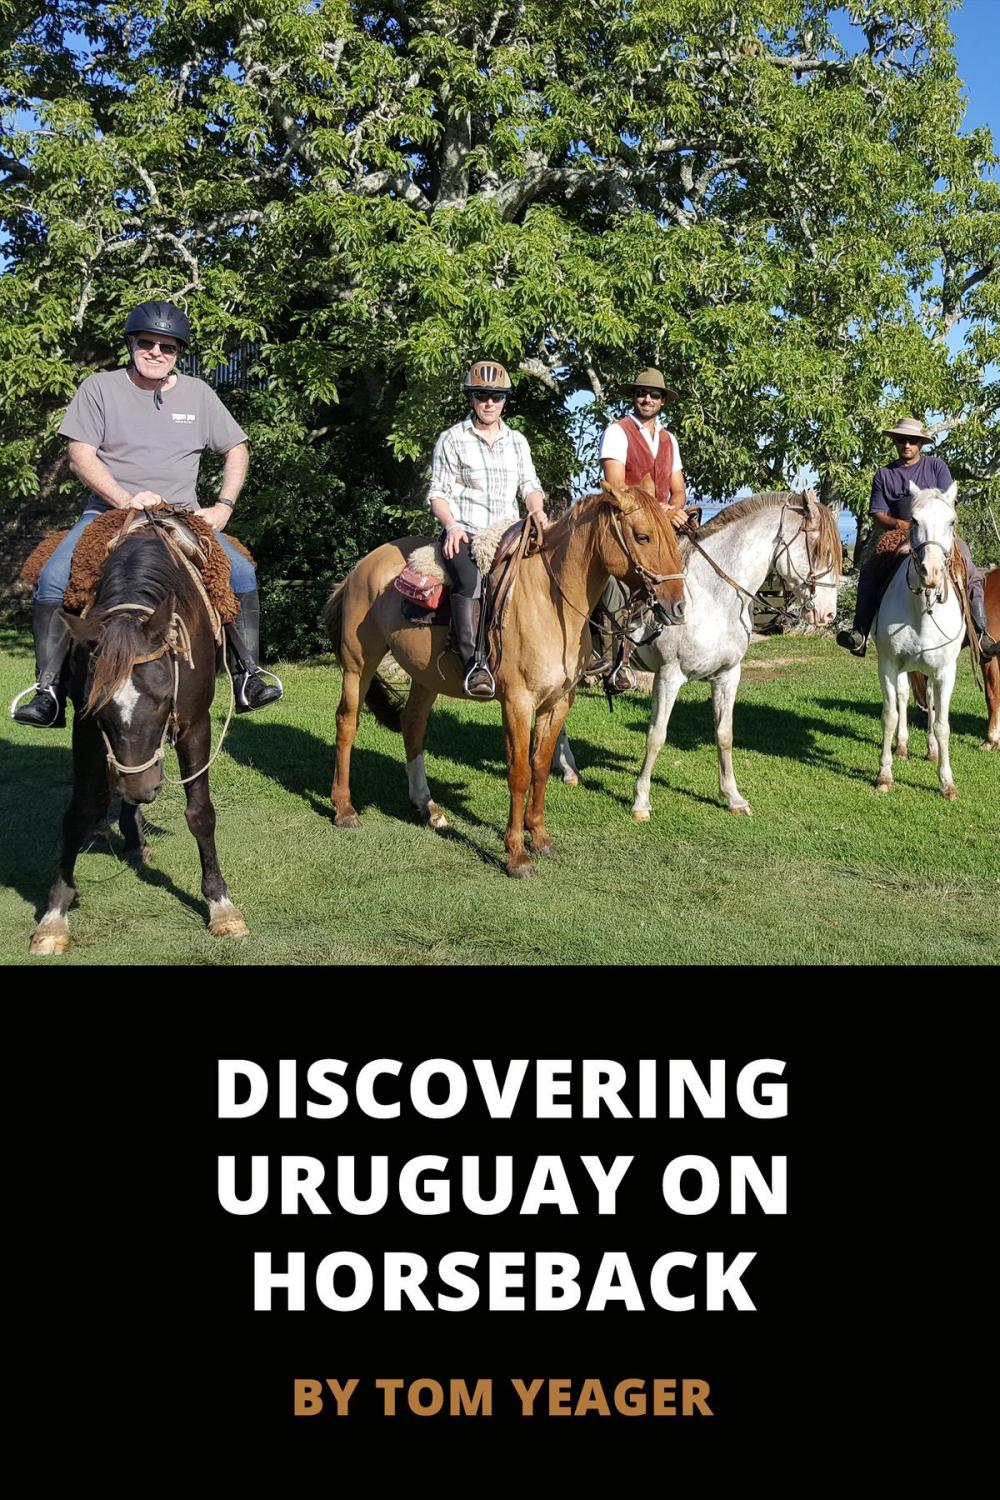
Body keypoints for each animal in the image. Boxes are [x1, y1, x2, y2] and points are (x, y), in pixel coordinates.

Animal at [27, 510, 248, 954]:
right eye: (100, 709)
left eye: (163, 699)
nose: (143, 788)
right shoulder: (86, 731)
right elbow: (78, 812)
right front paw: (55, 914)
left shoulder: (194, 725)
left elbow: (200, 814)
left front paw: (220, 905)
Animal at [326, 480, 689, 876]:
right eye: (642, 536)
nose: (678, 607)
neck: (550, 601)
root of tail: (360, 567)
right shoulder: (518, 701)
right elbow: (519, 773)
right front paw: (516, 854)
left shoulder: (558, 701)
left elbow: (541, 767)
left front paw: (540, 838)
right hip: (359, 664)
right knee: (347, 723)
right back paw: (344, 809)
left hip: (425, 676)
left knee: (413, 725)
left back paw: (429, 808)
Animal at [869, 486, 965, 804]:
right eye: (913, 520)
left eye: (952, 521)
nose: (930, 572)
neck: (922, 610)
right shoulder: (887, 665)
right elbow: (890, 716)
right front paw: (884, 775)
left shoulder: (945, 672)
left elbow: (943, 724)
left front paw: (947, 783)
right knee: (902, 697)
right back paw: (901, 746)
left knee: (931, 703)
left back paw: (932, 750)